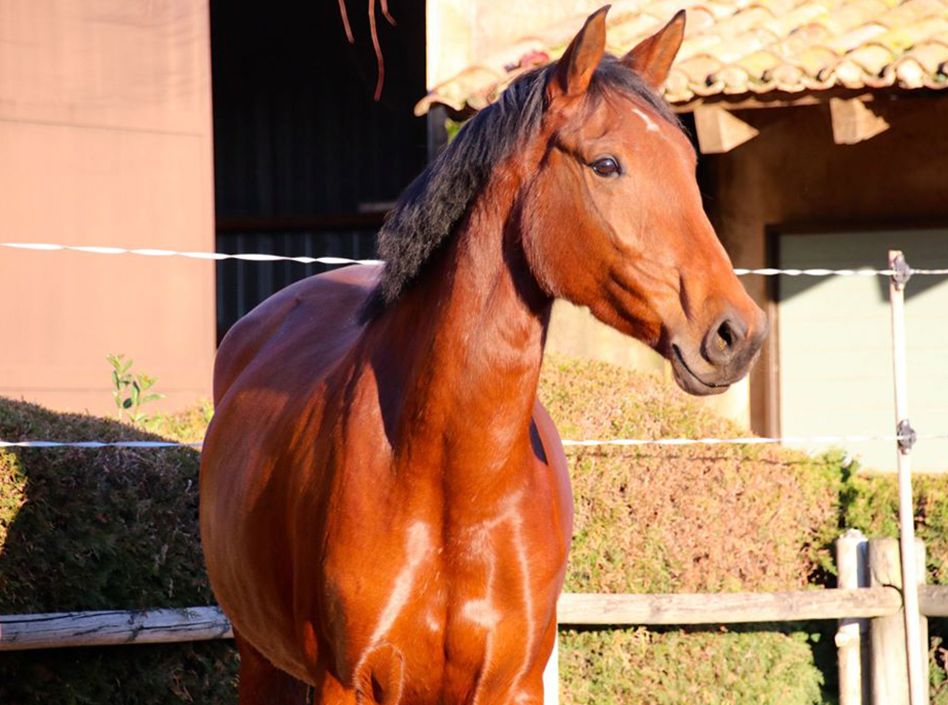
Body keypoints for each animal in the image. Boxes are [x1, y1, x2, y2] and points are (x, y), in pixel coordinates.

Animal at [202, 6, 772, 704]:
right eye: (606, 164)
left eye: (689, 165)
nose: (736, 333)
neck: (452, 487)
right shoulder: (347, 684)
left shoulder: (513, 683)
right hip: (260, 660)